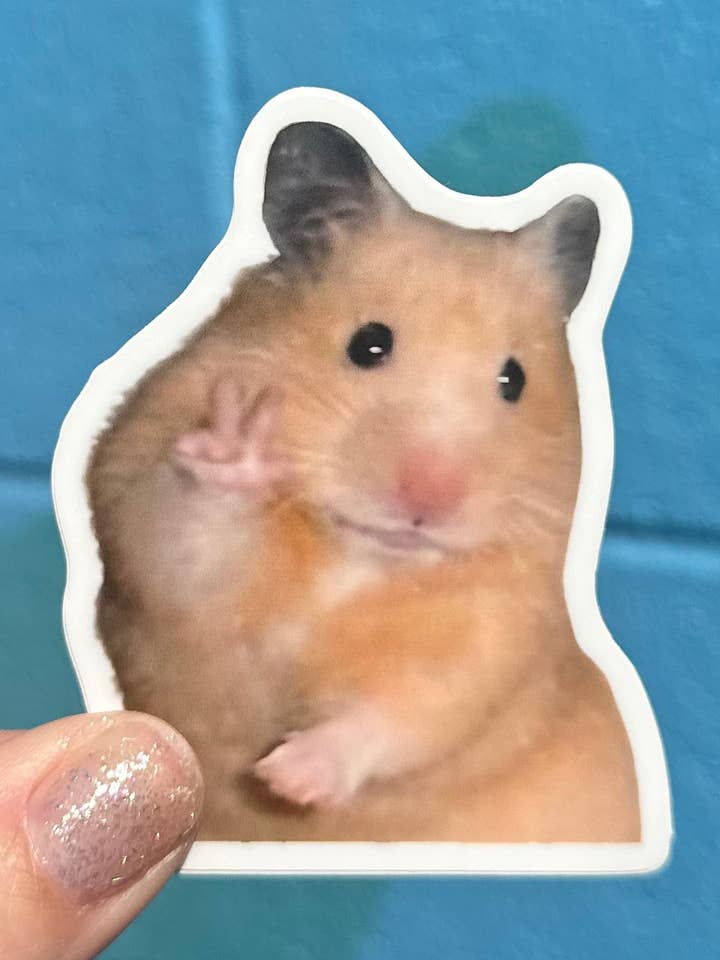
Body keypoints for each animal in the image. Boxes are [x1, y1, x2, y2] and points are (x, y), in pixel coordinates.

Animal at [86, 122, 640, 841]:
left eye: (514, 379)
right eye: (367, 344)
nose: (427, 502)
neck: (358, 559)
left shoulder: (495, 637)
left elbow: (408, 711)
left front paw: (286, 778)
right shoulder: (146, 528)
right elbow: (188, 539)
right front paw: (240, 441)